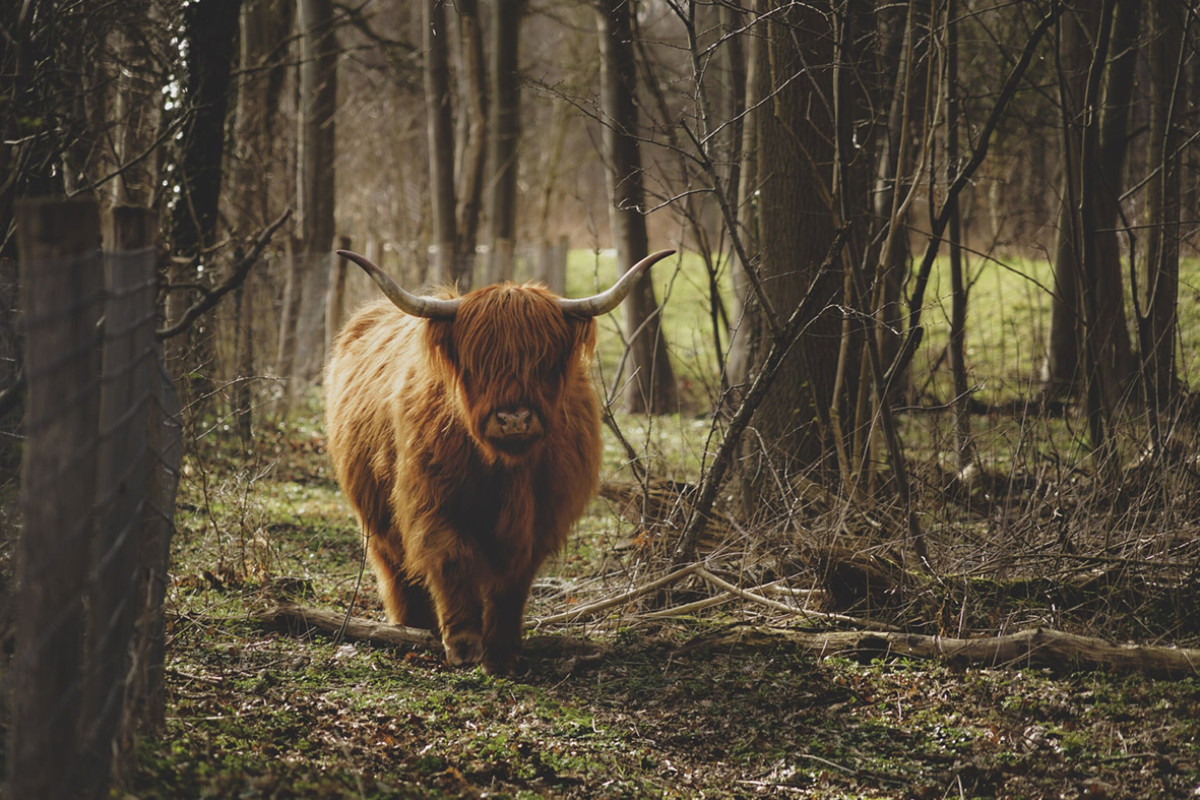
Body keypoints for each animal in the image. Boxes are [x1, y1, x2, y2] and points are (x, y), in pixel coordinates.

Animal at [324, 250, 672, 676]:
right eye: (479, 362)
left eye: (543, 361)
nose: (514, 419)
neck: (505, 470)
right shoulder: (433, 502)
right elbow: (452, 559)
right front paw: (464, 644)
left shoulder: (540, 518)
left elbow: (512, 580)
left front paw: (502, 651)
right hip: (373, 512)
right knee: (395, 565)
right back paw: (412, 624)